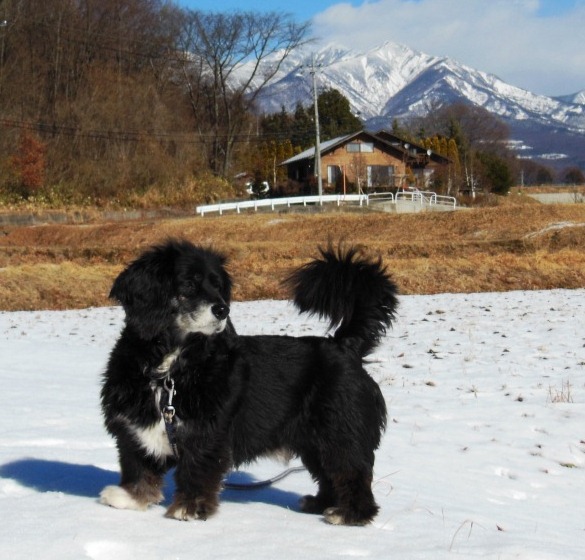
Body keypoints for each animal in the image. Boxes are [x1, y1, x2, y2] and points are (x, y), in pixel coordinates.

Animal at [100, 240, 396, 524]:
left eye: (218, 286)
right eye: (189, 284)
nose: (223, 309)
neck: (172, 370)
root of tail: (345, 346)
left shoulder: (207, 435)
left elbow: (196, 471)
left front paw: (190, 509)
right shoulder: (135, 428)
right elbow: (138, 465)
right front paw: (130, 497)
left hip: (339, 432)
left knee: (351, 472)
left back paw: (351, 514)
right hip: (312, 440)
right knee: (329, 474)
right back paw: (321, 504)